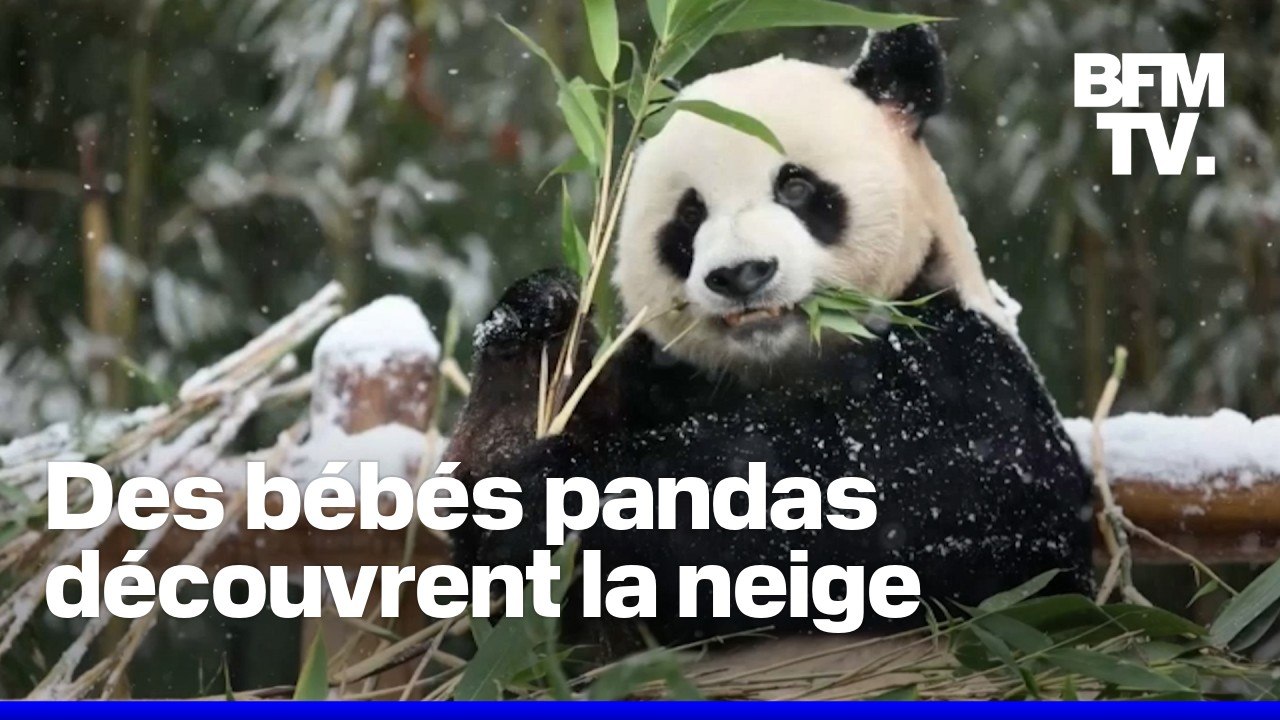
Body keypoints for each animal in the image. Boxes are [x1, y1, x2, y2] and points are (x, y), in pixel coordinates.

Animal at [446, 25, 1093, 650]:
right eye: (689, 215)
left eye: (796, 187)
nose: (741, 274)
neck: (786, 363)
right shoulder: (664, 375)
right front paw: (530, 344)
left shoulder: (964, 367)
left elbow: (906, 490)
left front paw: (559, 491)